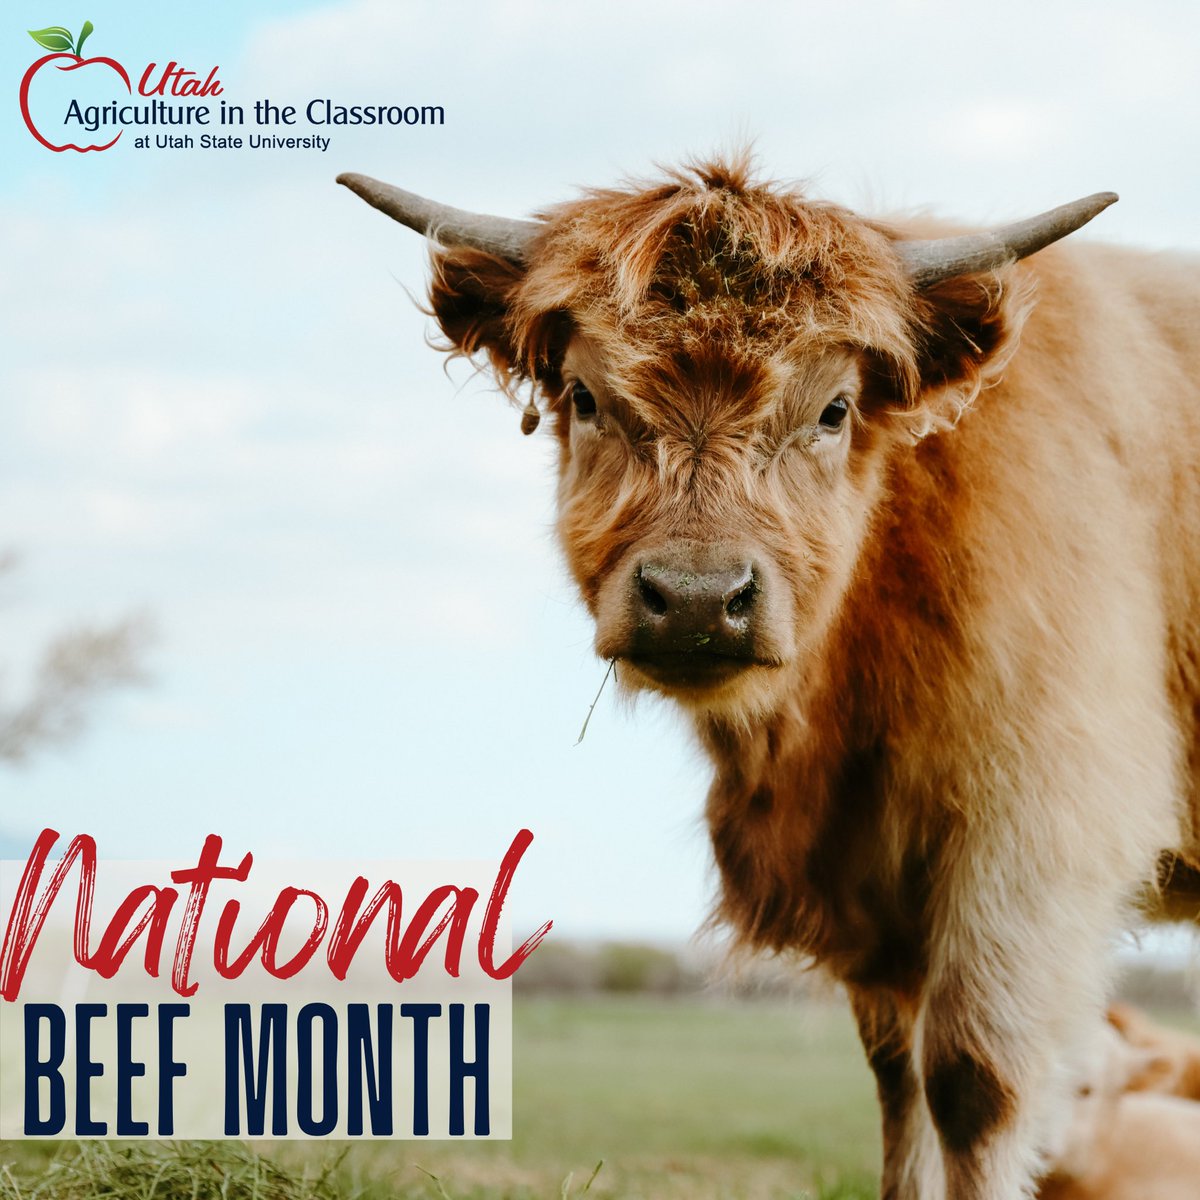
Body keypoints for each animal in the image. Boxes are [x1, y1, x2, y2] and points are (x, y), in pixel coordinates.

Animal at [337, 155, 1200, 1199]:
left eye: (833, 410)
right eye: (585, 397)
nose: (698, 599)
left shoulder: (1036, 826)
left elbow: (973, 1082)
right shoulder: (877, 885)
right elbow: (898, 1087)